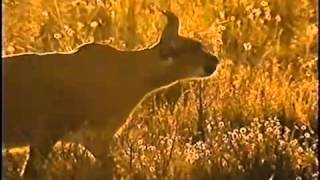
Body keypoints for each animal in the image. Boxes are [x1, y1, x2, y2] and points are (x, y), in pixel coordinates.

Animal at [2, 9, 219, 179]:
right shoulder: (46, 135)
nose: (216, 60)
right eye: (197, 47)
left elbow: (111, 168)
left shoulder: (96, 139)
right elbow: (31, 172)